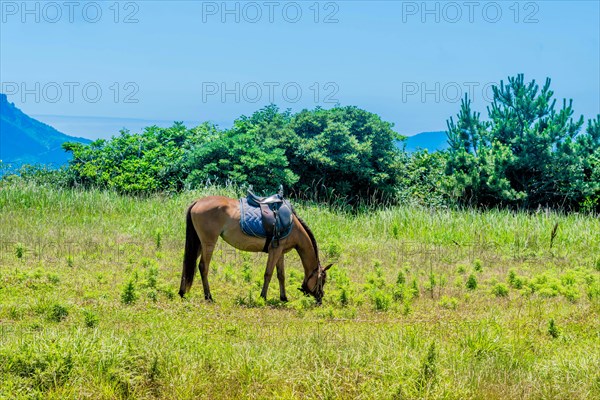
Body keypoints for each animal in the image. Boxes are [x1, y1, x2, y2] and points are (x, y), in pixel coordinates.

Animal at [177, 196, 332, 304]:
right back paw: (208, 296)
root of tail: (198, 201)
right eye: (322, 280)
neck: (292, 225)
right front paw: (263, 297)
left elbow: (281, 275)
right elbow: (268, 274)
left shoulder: (280, 252)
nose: (320, 299)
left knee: (187, 264)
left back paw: (182, 292)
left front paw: (284, 297)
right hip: (208, 243)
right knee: (203, 267)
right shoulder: (275, 251)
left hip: (198, 243)